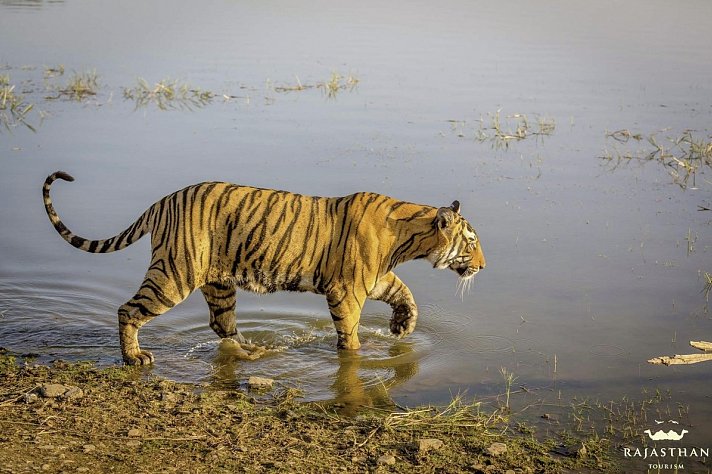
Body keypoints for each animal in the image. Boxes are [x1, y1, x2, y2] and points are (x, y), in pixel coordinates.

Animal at [43, 171, 486, 365]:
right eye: (472, 241)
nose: (483, 266)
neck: (409, 237)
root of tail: (163, 200)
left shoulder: (375, 279)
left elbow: (405, 294)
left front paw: (401, 327)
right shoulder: (347, 290)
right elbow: (350, 332)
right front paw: (359, 353)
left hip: (218, 283)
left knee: (222, 326)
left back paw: (254, 351)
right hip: (174, 274)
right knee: (128, 310)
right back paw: (135, 357)